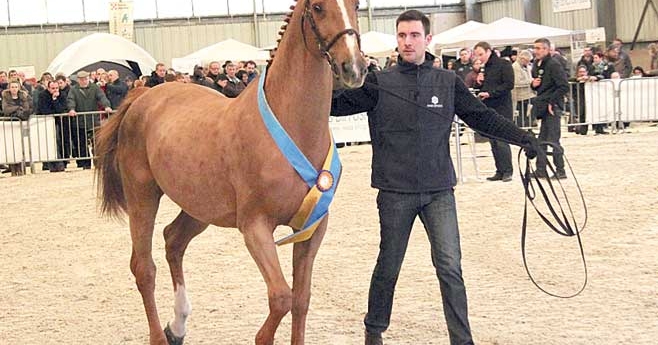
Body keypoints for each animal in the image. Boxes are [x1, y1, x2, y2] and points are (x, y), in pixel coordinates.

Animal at [95, 1, 366, 342]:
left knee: (173, 241)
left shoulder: (312, 228)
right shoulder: (255, 227)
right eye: (317, 7)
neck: (291, 126)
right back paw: (160, 334)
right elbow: (281, 297)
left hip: (199, 207)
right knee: (144, 268)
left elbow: (301, 300)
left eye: (356, 5)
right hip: (142, 196)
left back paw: (177, 326)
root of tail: (143, 96)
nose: (353, 67)